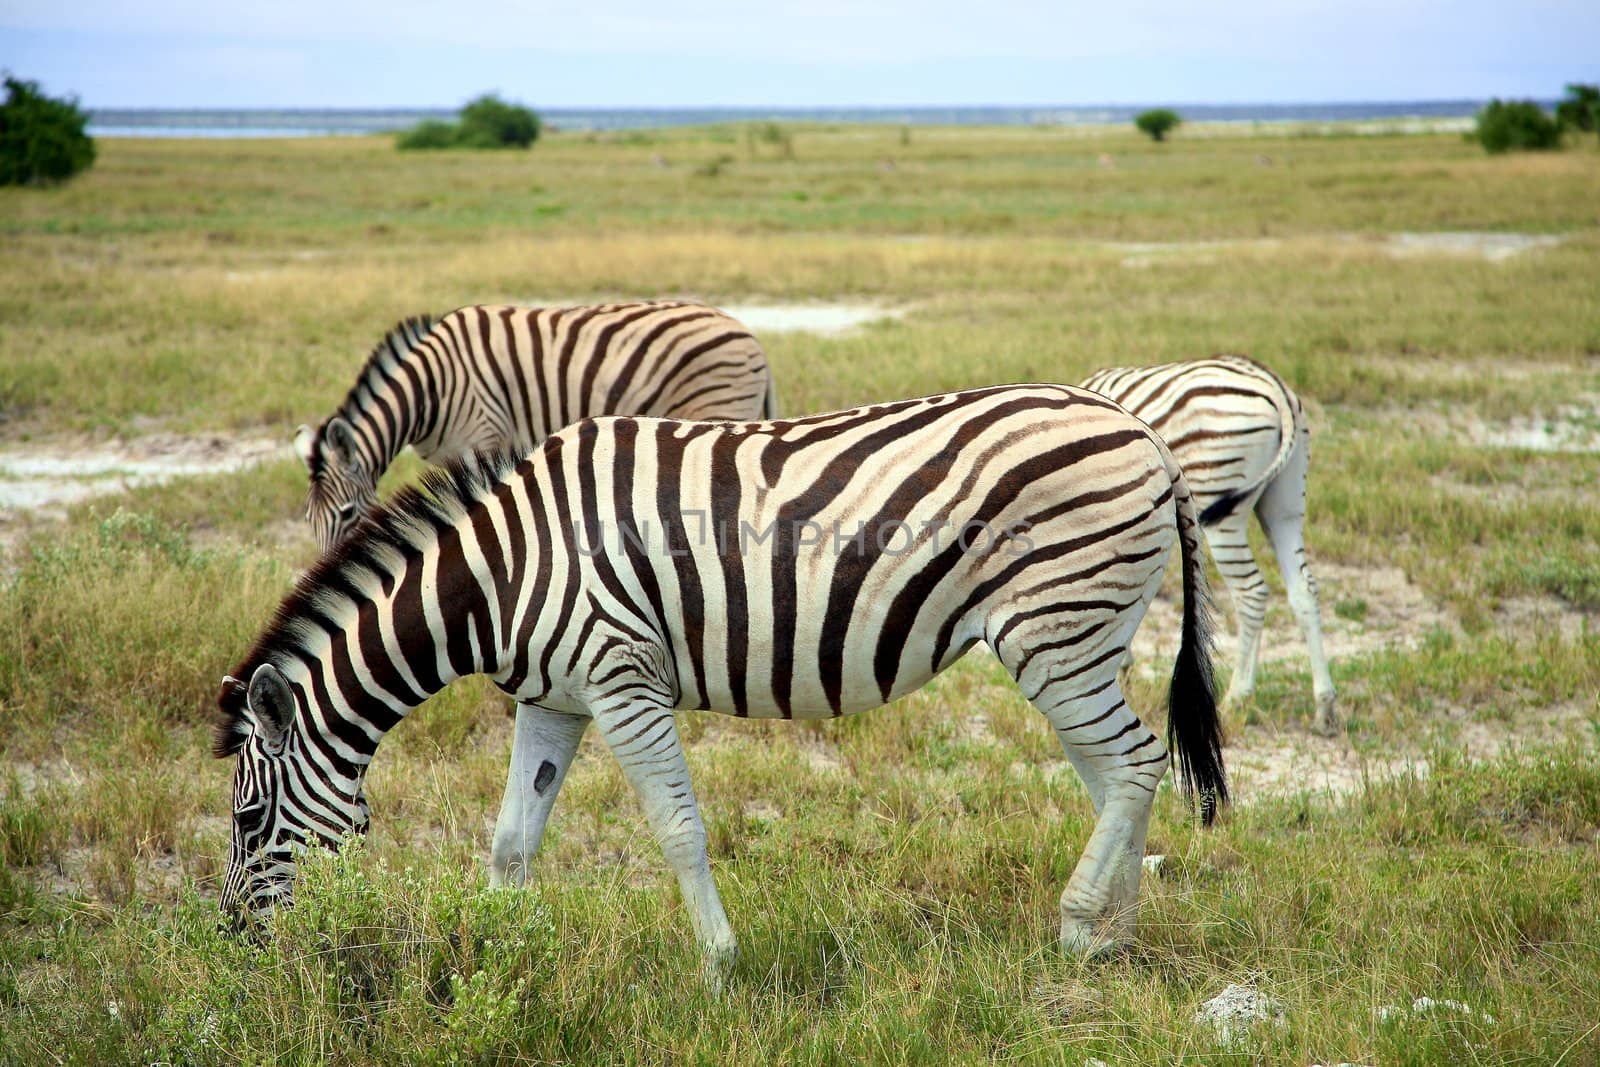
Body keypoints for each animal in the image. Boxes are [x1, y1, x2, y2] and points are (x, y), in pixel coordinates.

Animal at [216, 383, 1222, 985]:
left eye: (248, 818)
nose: (233, 941)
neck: (505, 573)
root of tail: (1147, 437)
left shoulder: (622, 680)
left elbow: (677, 829)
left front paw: (719, 968)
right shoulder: (554, 697)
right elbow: (511, 838)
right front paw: (490, 958)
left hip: (1053, 632)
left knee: (1135, 765)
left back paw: (1078, 926)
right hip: (1086, 635)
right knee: (1117, 777)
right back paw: (1117, 938)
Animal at [297, 300, 777, 550]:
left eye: (348, 513)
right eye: (309, 521)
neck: (430, 391)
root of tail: (748, 334)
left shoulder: (481, 435)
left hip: (720, 409)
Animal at [1088, 355, 1337, 739]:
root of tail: (1274, 384)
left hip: (1221, 501)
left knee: (1252, 593)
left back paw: (1237, 696)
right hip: (1285, 505)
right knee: (1303, 590)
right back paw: (1324, 706)